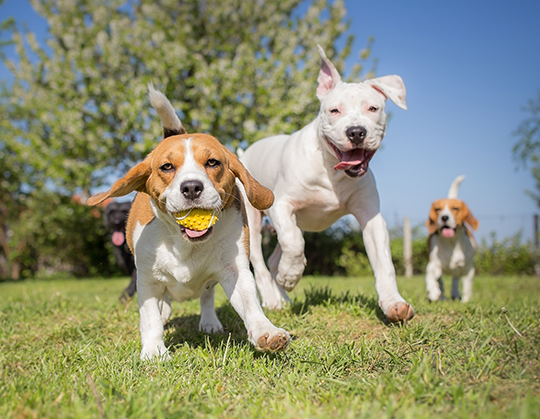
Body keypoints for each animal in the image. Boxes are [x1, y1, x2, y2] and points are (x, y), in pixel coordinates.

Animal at [88, 86, 292, 360]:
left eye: (212, 162)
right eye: (166, 166)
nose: (192, 187)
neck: (184, 242)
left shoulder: (235, 269)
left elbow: (250, 305)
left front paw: (266, 332)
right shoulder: (146, 279)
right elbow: (150, 317)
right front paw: (154, 351)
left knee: (207, 296)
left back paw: (209, 321)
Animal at [239, 46, 414, 324]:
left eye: (372, 108)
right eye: (334, 111)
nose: (356, 132)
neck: (332, 171)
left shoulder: (371, 218)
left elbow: (384, 263)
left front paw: (393, 303)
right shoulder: (282, 205)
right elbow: (294, 242)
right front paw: (291, 275)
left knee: (276, 258)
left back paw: (284, 297)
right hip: (253, 219)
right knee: (261, 260)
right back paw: (273, 299)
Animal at [424, 176, 478, 304]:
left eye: (455, 208)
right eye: (437, 209)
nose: (444, 217)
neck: (451, 242)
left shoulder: (469, 268)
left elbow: (467, 286)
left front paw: (466, 301)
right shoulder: (434, 264)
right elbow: (430, 276)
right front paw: (433, 292)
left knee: (455, 279)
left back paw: (455, 294)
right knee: (441, 282)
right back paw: (441, 296)